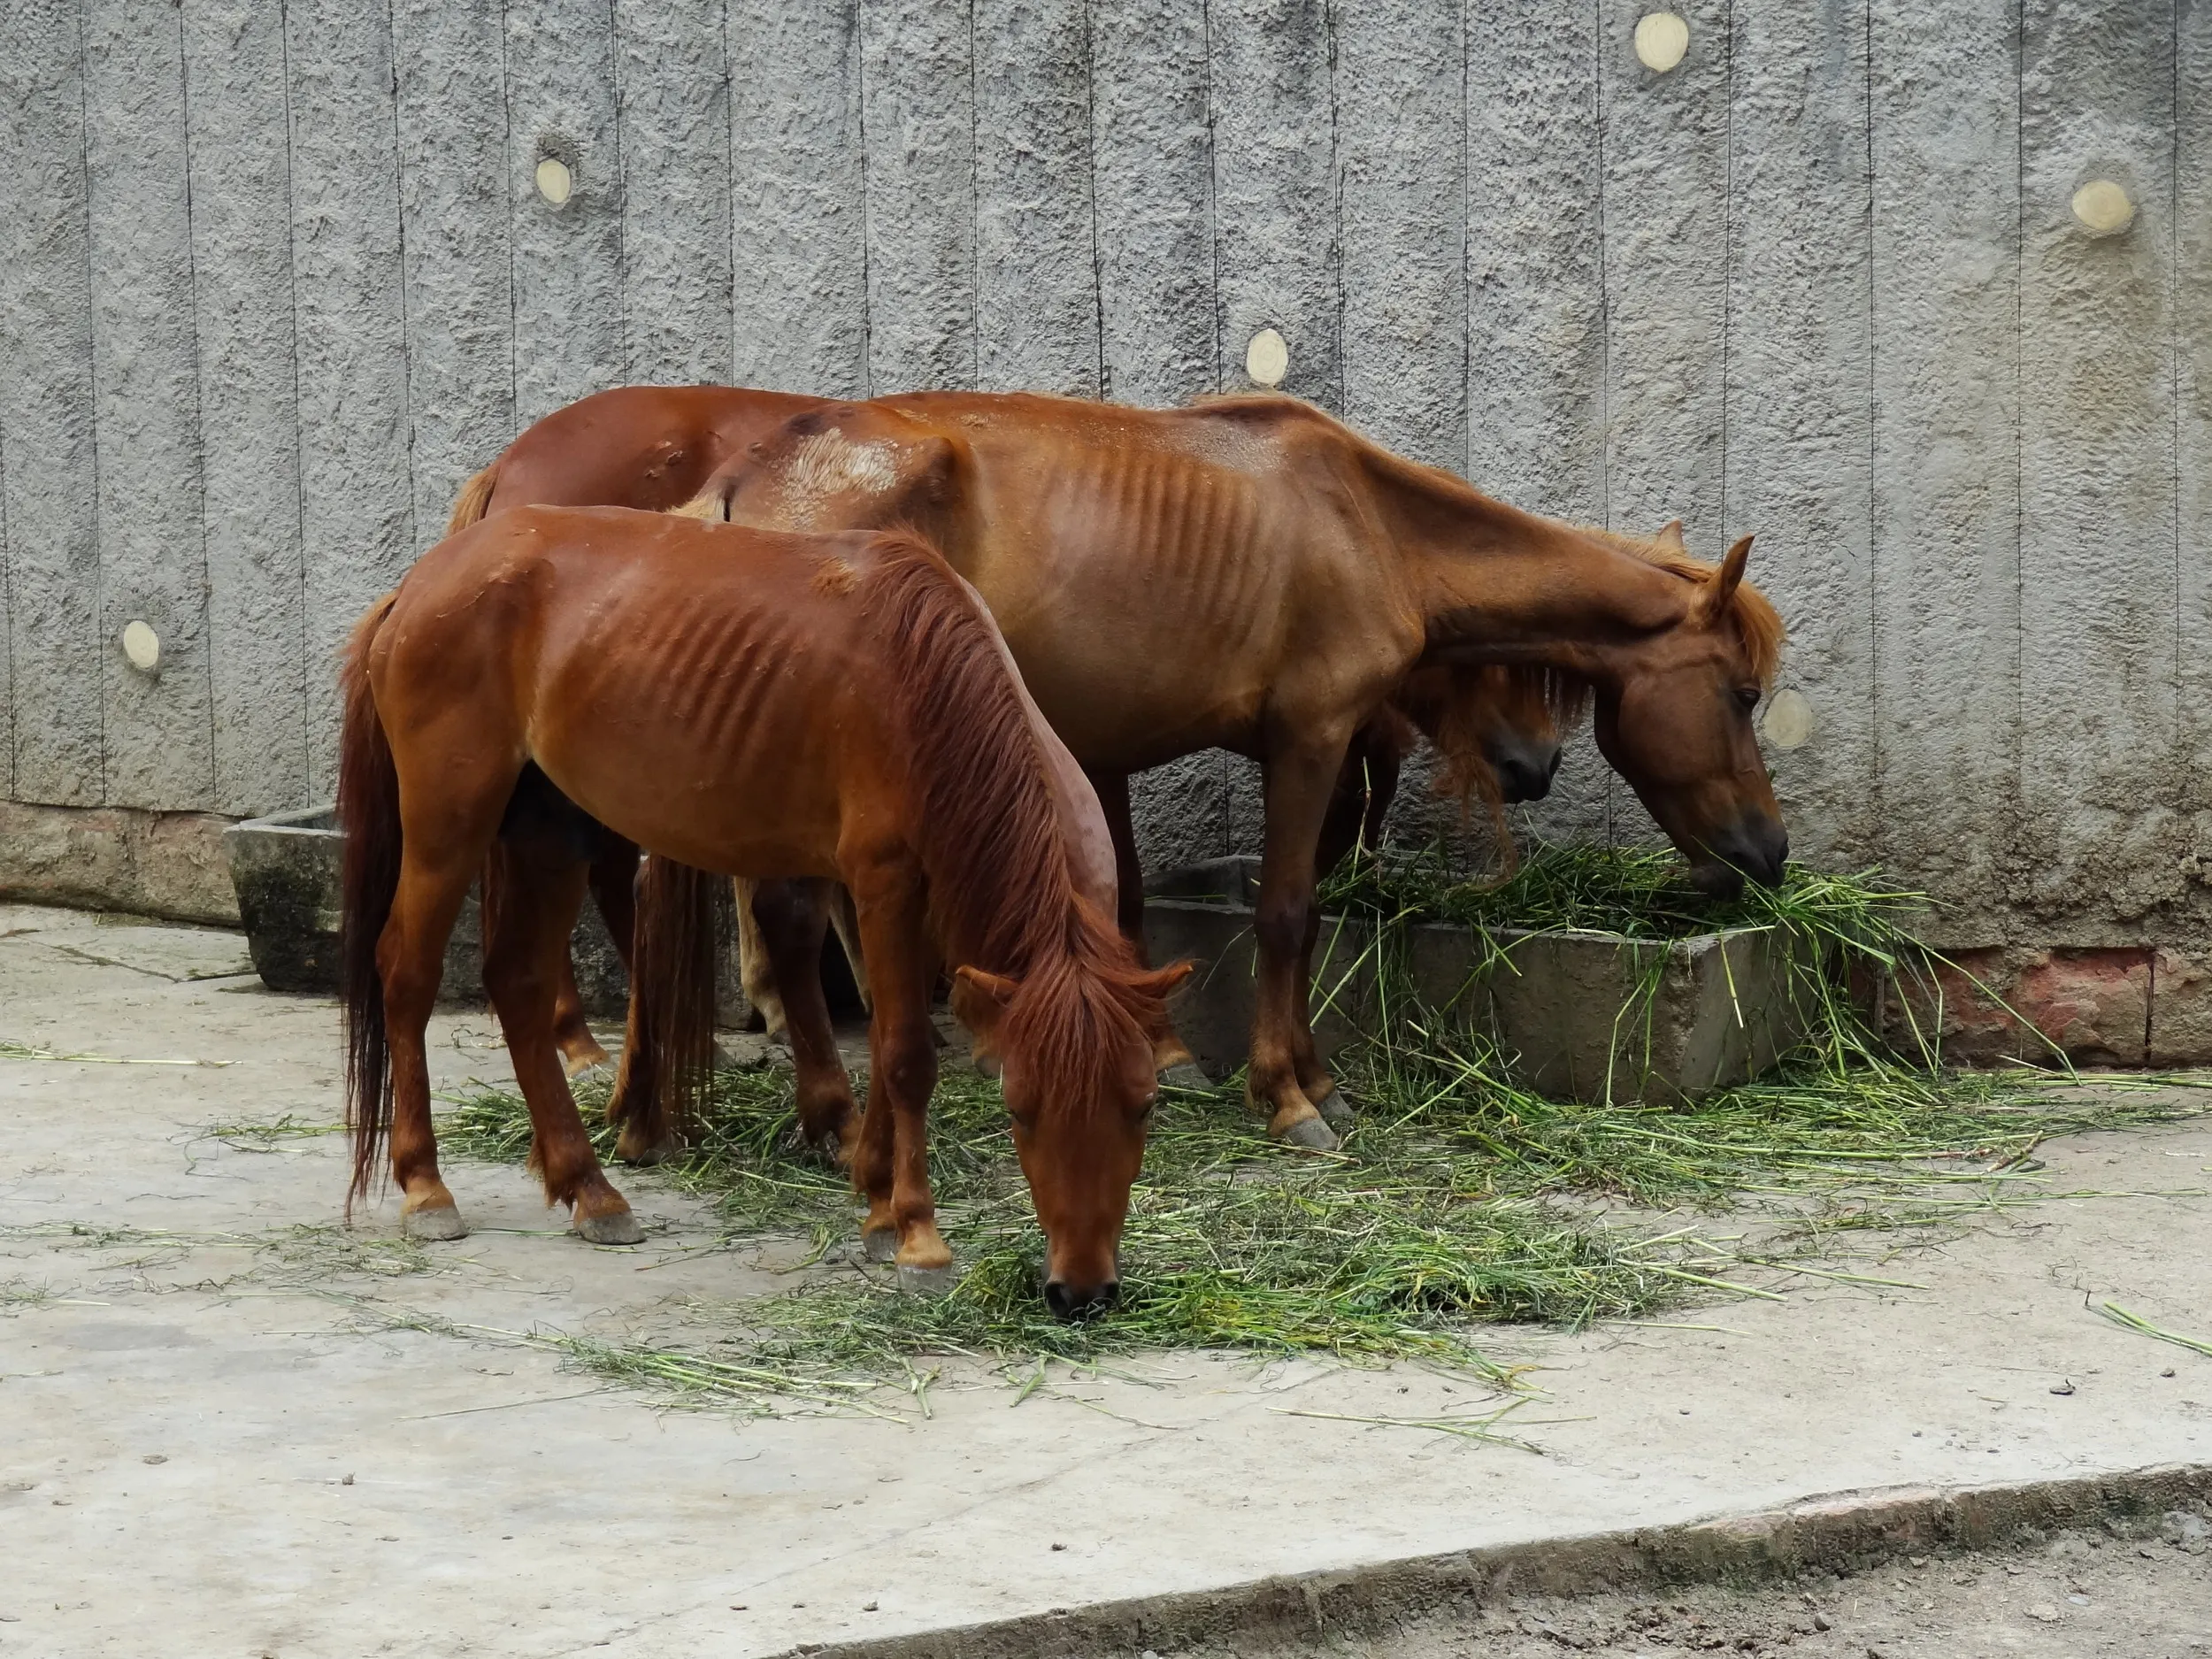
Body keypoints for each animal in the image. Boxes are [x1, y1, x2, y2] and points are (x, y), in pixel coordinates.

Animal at [338, 508, 1187, 1315]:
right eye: (1019, 1107)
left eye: (1144, 1105)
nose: (1082, 1290)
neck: (924, 686)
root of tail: (416, 585)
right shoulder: (882, 884)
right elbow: (907, 1055)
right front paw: (918, 1235)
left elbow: (889, 1039)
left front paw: (877, 1199)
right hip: (449, 826)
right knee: (406, 974)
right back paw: (426, 1185)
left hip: (550, 830)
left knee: (516, 984)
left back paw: (590, 1188)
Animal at [617, 390, 1783, 1154]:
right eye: (1740, 693)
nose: (1766, 853)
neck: (1361, 519)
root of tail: (743, 481)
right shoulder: (1309, 742)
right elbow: (1286, 917)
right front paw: (1290, 1099)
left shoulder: (1120, 750)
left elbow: (1143, 910)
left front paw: (1272, 1076)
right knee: (790, 920)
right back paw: (826, 1116)